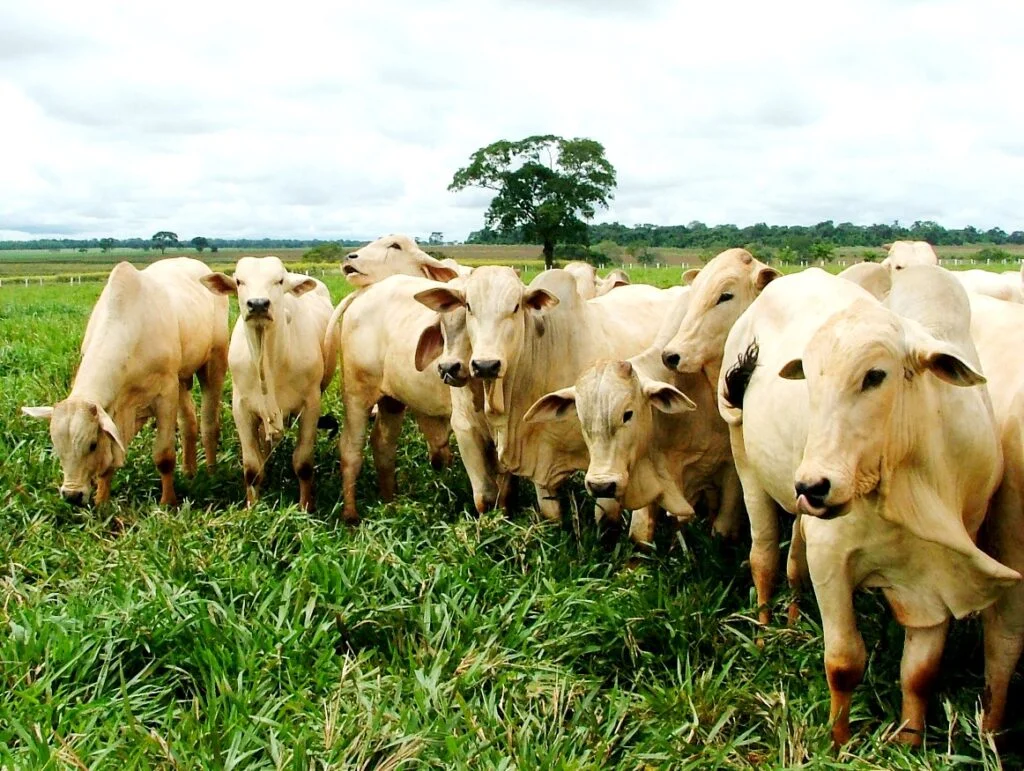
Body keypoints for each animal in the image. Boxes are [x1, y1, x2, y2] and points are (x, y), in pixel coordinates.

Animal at [23, 257, 231, 505]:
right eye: (56, 445)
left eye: (91, 444)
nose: (72, 495)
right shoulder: (118, 408)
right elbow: (109, 461)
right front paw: (101, 501)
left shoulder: (165, 392)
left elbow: (164, 456)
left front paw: (168, 502)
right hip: (181, 378)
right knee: (188, 421)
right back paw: (189, 473)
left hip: (213, 363)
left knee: (209, 422)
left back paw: (211, 472)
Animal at [200, 259, 339, 511]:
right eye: (239, 281)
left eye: (279, 281)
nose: (258, 304)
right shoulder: (241, 407)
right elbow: (252, 467)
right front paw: (252, 507)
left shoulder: (311, 404)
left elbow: (303, 464)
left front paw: (305, 507)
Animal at [411, 264, 684, 524]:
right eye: (469, 306)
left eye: (516, 307)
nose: (486, 365)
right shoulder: (529, 451)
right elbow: (521, 506)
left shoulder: (610, 457)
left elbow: (606, 519)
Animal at [724, 266, 1019, 745]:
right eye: (810, 378)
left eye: (875, 376)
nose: (813, 485)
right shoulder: (832, 559)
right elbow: (844, 663)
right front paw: (839, 742)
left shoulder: (937, 577)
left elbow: (919, 672)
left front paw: (910, 740)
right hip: (745, 460)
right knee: (764, 556)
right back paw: (765, 633)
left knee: (793, 562)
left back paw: (792, 623)